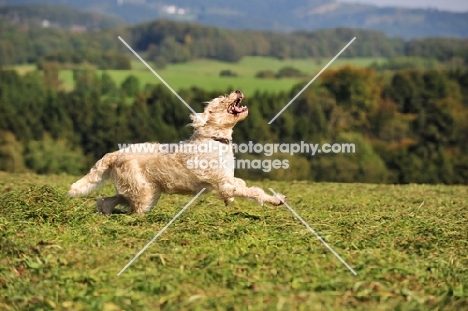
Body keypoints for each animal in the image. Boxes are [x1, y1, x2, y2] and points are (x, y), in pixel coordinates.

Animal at [67, 90, 284, 214]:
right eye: (221, 101)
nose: (237, 90)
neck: (214, 138)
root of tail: (116, 154)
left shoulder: (227, 180)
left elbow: (240, 184)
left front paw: (228, 201)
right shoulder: (224, 182)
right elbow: (254, 192)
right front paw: (276, 200)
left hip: (142, 190)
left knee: (106, 200)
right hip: (144, 193)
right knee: (131, 208)